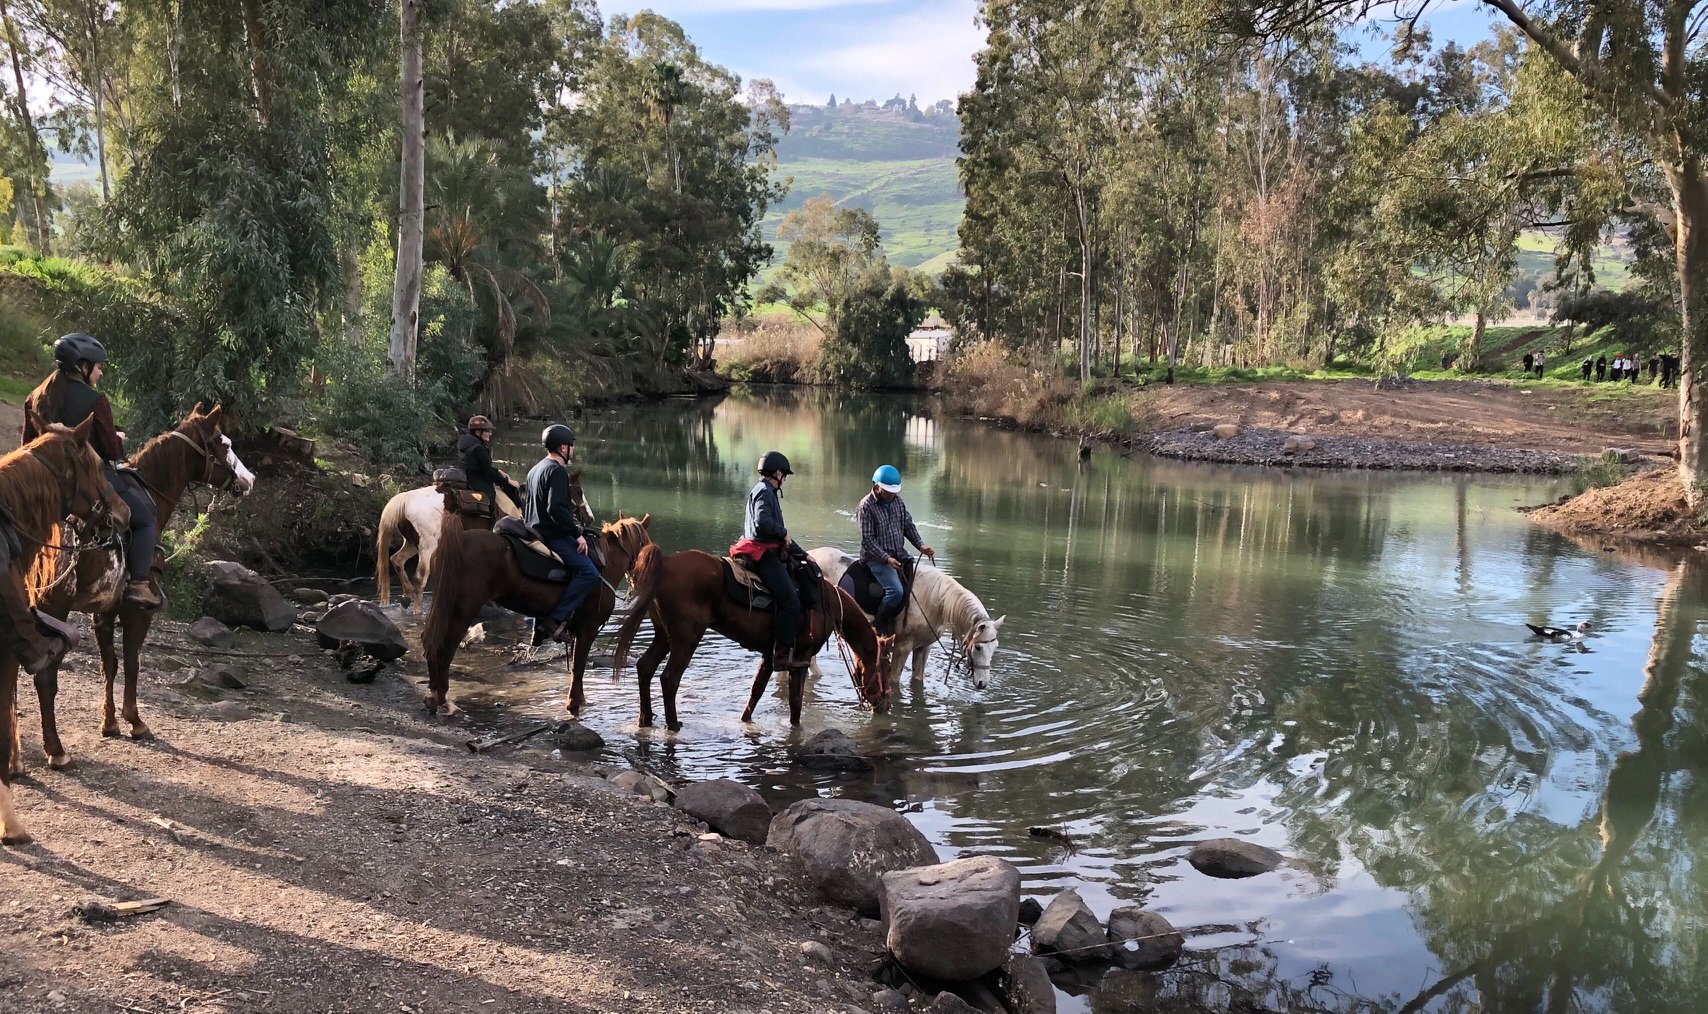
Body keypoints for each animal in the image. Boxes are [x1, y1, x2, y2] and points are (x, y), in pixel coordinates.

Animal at [30, 402, 256, 757]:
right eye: (225, 443)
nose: (249, 479)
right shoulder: (138, 612)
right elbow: (132, 663)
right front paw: (135, 722)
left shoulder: (104, 612)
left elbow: (110, 664)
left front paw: (109, 723)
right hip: (53, 609)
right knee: (45, 677)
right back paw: (55, 750)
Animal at [421, 501, 652, 710]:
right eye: (646, 545)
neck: (605, 563)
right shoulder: (588, 628)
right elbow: (579, 665)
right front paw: (574, 704)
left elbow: (576, 666)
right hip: (462, 610)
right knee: (444, 647)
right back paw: (443, 699)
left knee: (430, 641)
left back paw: (433, 695)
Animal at [608, 549, 888, 730]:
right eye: (883, 667)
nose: (883, 705)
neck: (827, 603)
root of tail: (665, 562)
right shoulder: (801, 659)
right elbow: (795, 706)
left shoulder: (771, 654)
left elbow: (755, 693)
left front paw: (745, 721)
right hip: (686, 637)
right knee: (669, 678)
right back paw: (673, 724)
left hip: (664, 635)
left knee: (645, 667)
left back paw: (645, 719)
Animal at [809, 546, 997, 686]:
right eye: (978, 647)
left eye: (994, 647)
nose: (983, 683)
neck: (932, 600)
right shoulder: (902, 647)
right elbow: (894, 681)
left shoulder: (924, 647)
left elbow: (917, 680)